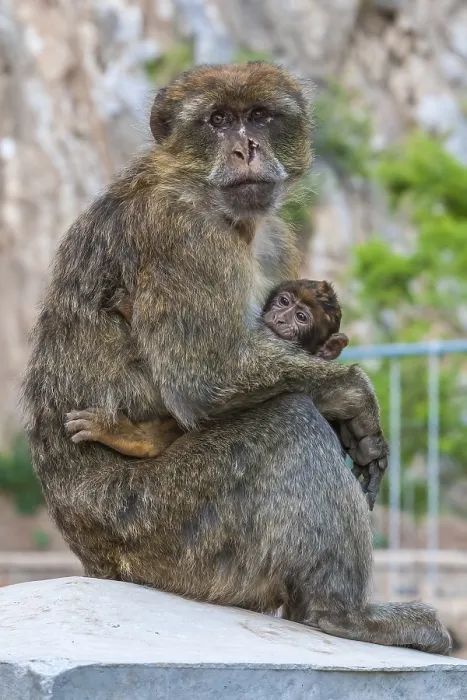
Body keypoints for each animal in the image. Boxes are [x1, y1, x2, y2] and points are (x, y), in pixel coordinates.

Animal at [22, 62, 450, 654]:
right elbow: (203, 377)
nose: (246, 147)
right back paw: (339, 614)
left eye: (260, 116)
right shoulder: (184, 233)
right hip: (162, 534)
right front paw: (351, 395)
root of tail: (94, 558)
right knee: (288, 421)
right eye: (219, 119)